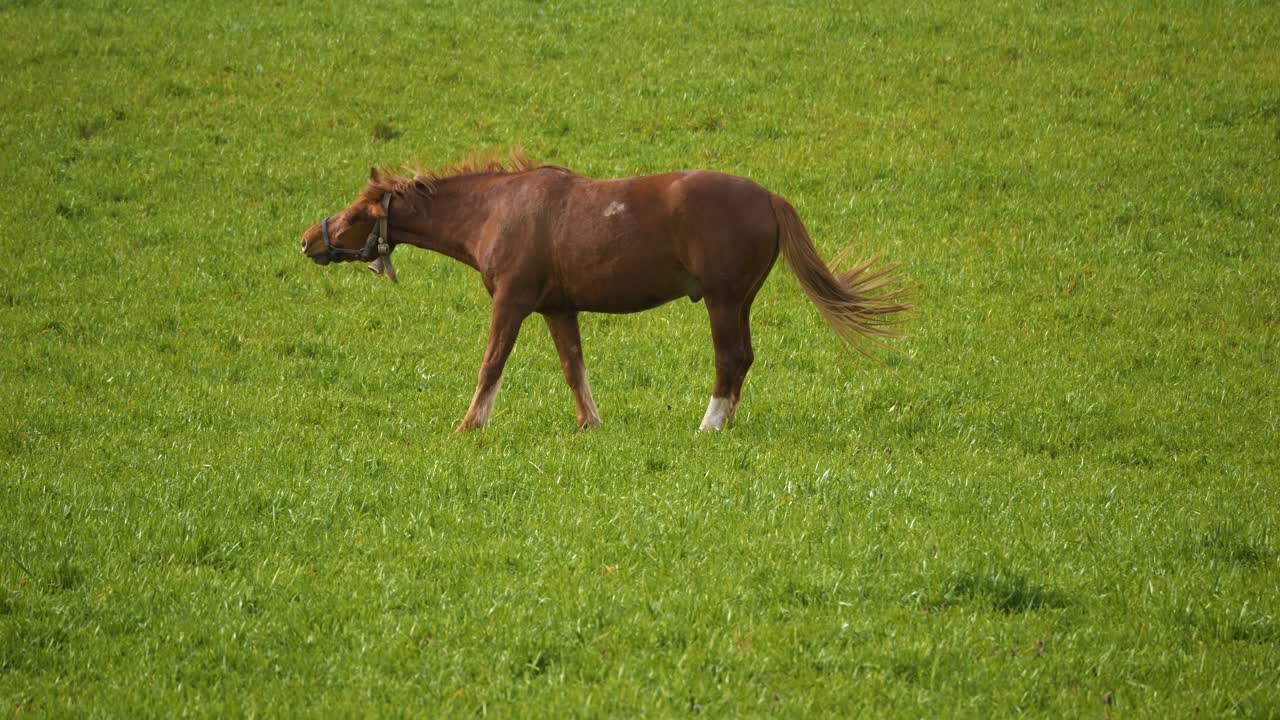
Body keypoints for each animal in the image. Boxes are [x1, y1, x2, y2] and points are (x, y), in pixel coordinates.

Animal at [300, 152, 910, 433]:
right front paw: (589, 424)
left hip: (722, 301)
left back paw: (709, 424)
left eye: (357, 213)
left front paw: (469, 425)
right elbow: (574, 367)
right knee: (743, 359)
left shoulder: (511, 303)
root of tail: (768, 197)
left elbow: (491, 363)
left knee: (730, 357)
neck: (499, 208)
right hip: (738, 302)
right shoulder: (557, 309)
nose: (308, 239)